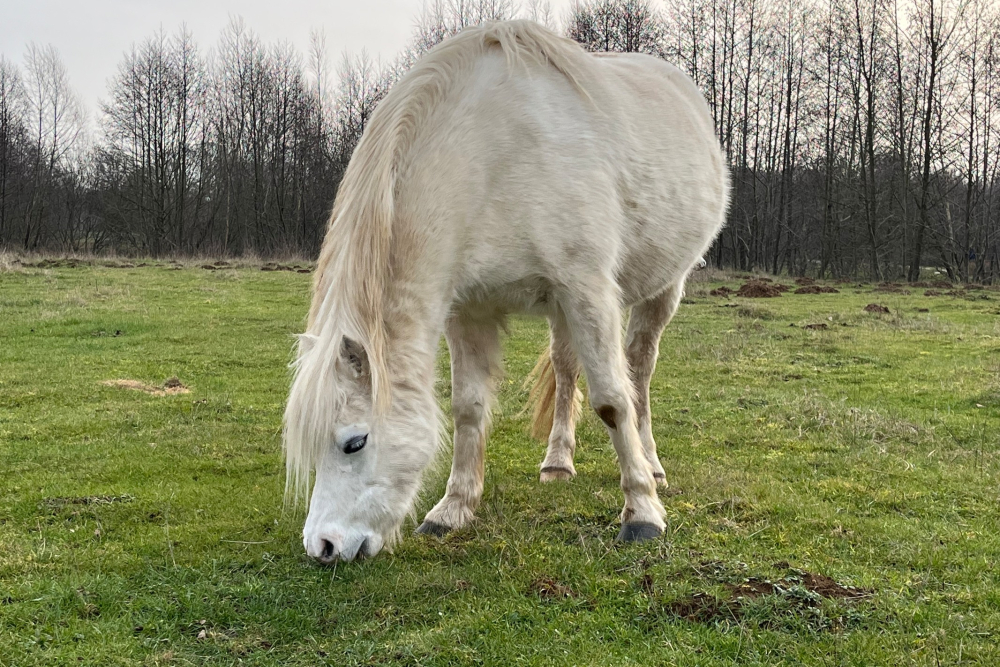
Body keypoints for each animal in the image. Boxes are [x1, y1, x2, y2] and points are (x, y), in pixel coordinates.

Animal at [283, 20, 729, 563]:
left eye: (354, 442)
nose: (322, 545)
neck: (492, 156)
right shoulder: (469, 310)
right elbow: (468, 408)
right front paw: (452, 509)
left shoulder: (588, 289)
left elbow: (611, 400)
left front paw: (642, 512)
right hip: (562, 312)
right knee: (565, 369)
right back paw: (558, 462)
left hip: (662, 289)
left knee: (639, 374)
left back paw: (653, 465)